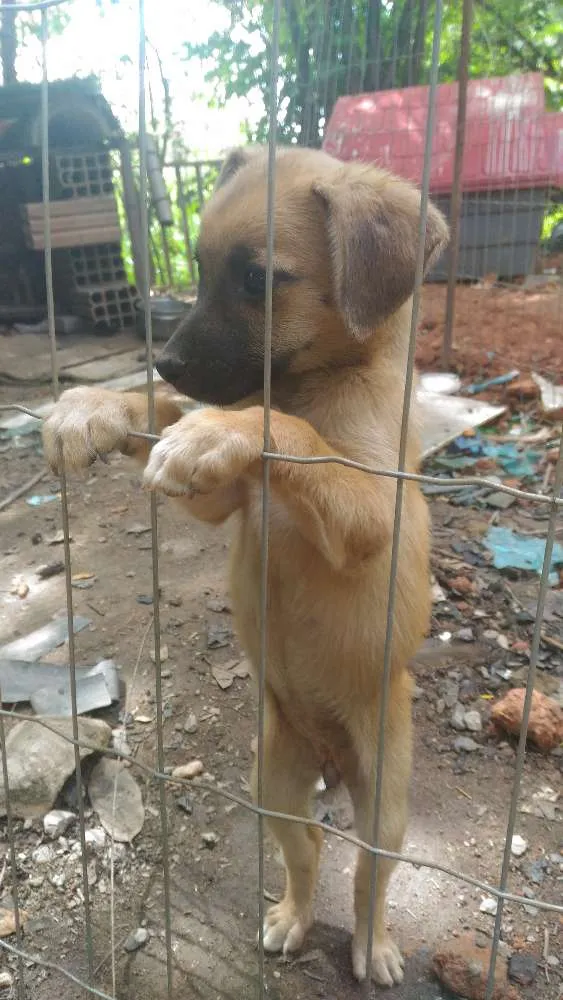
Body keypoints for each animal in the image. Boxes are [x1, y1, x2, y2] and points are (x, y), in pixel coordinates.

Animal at [43, 145, 450, 988]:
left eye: (259, 279)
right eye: (197, 269)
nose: (165, 357)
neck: (318, 383)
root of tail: (330, 756)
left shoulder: (373, 508)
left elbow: (275, 427)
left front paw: (220, 428)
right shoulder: (223, 500)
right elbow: (163, 412)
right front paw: (91, 409)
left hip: (386, 795)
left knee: (369, 873)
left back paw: (373, 946)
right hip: (275, 777)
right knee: (310, 848)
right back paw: (291, 919)